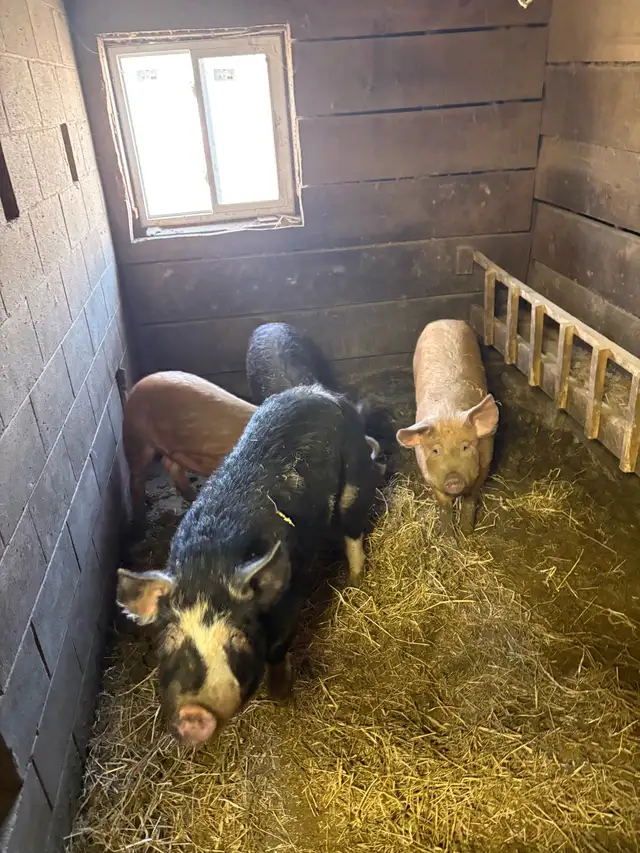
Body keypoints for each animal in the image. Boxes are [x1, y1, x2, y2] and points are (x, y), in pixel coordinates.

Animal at [122, 371, 256, 530]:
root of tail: (136, 387)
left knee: (169, 464)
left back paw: (191, 496)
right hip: (135, 437)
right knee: (136, 477)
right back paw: (141, 524)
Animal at [396, 320, 499, 534]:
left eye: (466, 446)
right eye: (435, 450)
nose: (453, 479)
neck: (448, 412)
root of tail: (444, 320)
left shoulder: (486, 463)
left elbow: (470, 499)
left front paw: (467, 532)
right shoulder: (429, 473)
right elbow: (444, 504)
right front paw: (447, 535)